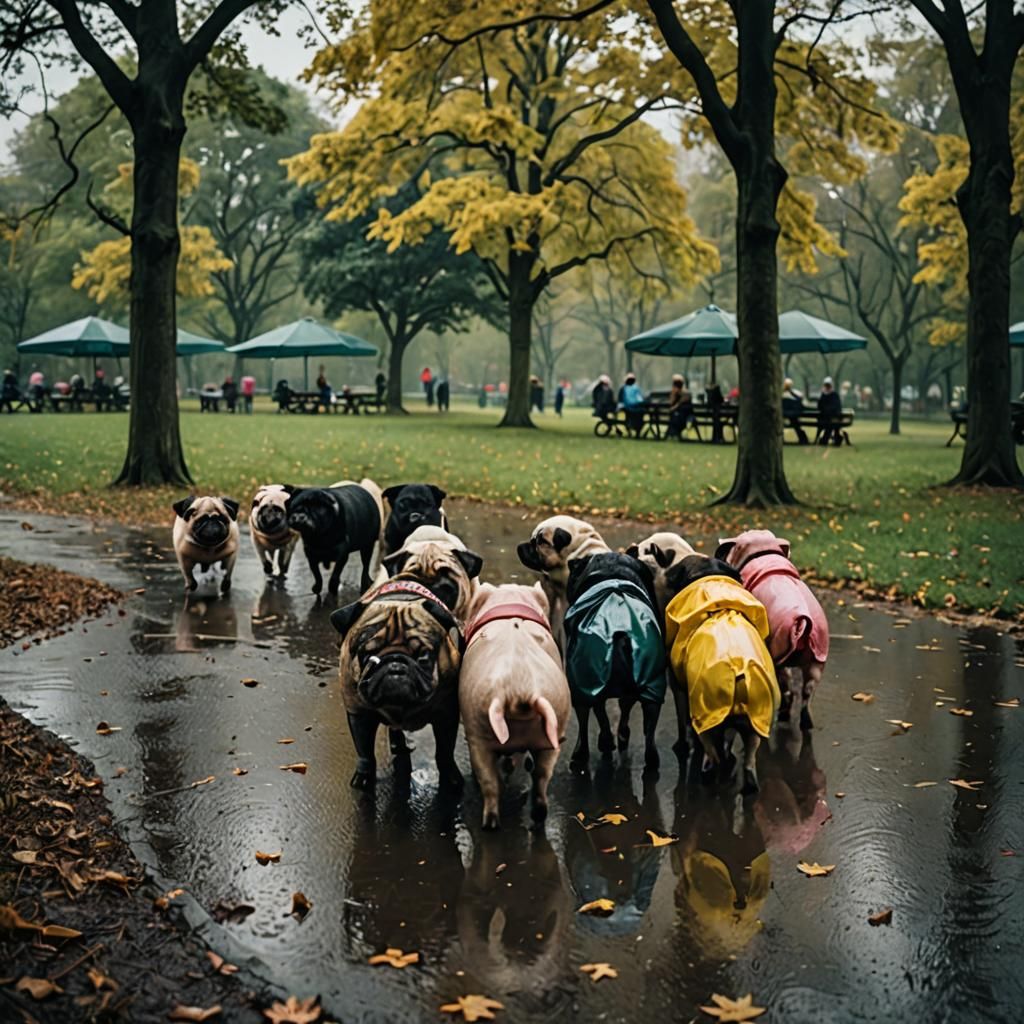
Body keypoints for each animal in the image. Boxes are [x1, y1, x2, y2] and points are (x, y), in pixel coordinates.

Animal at [561, 552, 663, 770]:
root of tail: (619, 629)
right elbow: (622, 707)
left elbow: (601, 712)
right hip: (651, 681)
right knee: (649, 724)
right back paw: (649, 758)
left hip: (583, 677)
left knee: (584, 715)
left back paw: (585, 753)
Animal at [659, 557, 778, 794]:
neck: (708, 576)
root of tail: (740, 672)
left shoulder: (678, 688)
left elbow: (682, 721)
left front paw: (682, 746)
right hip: (754, 725)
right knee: (748, 763)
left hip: (707, 721)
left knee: (710, 758)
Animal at [716, 528, 827, 729]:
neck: (762, 552)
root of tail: (803, 620)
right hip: (817, 658)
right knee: (806, 692)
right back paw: (804, 722)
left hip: (777, 652)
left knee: (787, 688)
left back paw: (781, 715)